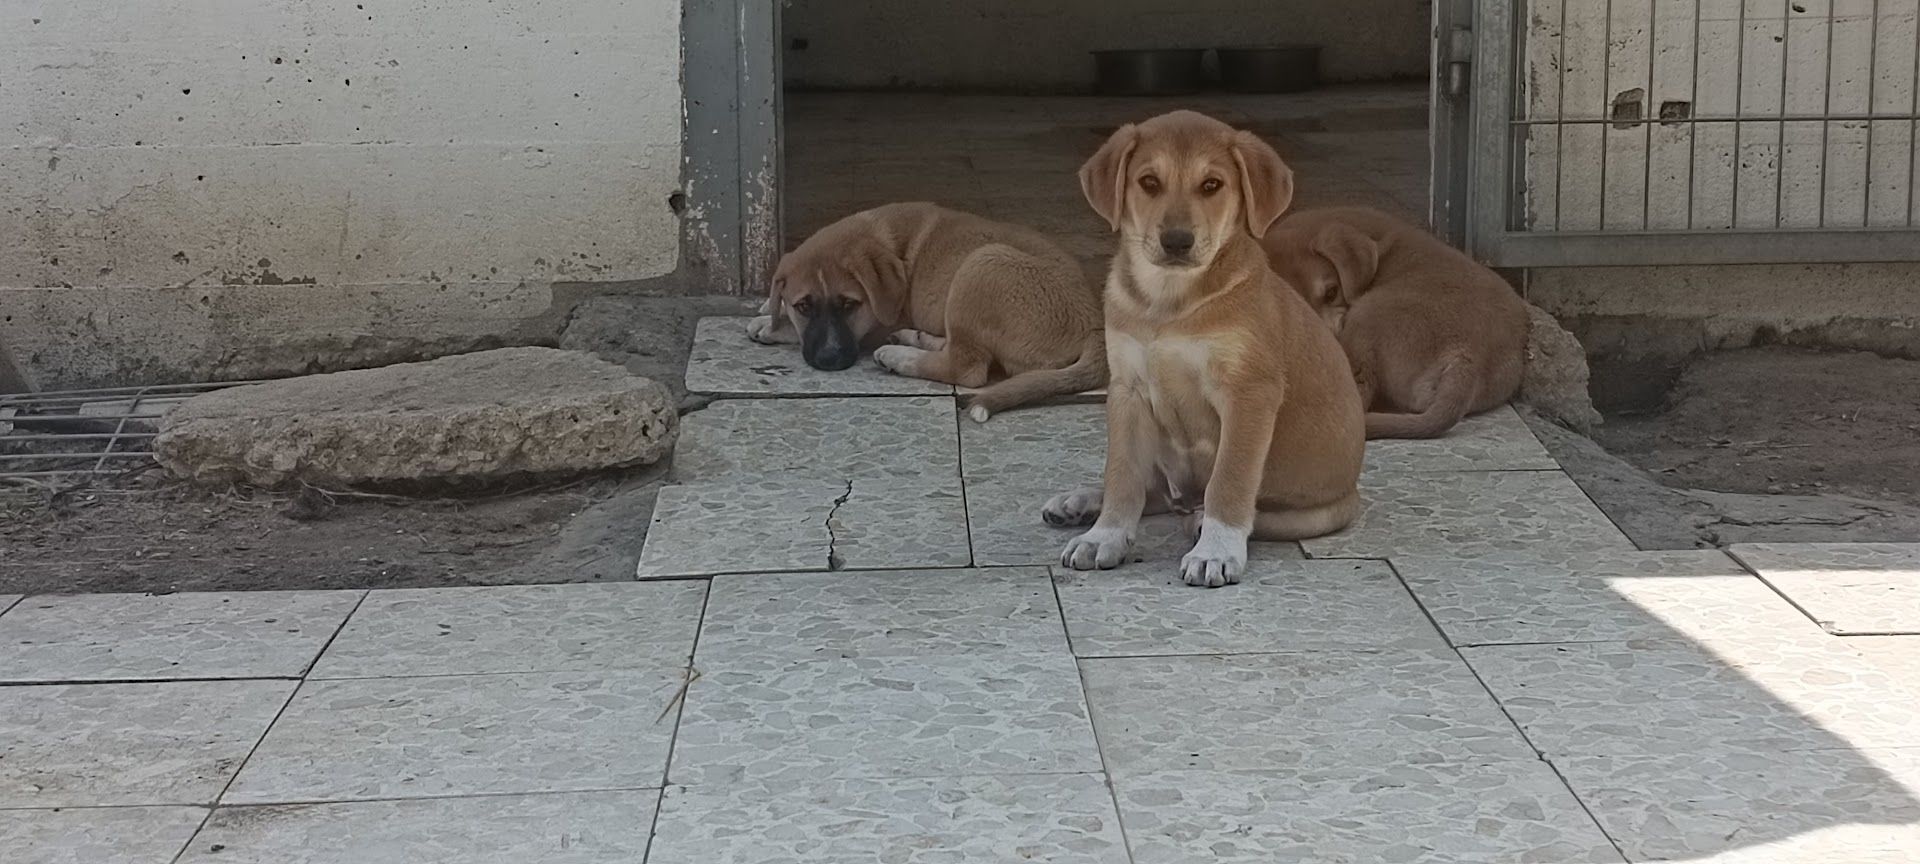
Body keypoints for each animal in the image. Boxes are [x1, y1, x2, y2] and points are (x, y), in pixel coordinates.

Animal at [748, 202, 1105, 422]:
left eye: (849, 305)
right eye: (804, 306)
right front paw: (770, 307)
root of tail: (1096, 325)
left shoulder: (877, 323)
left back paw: (897, 356)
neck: (885, 243)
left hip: (981, 264)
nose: (829, 360)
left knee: (967, 367)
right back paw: (914, 339)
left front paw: (770, 324)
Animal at [1046, 111, 1365, 587]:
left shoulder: (1249, 394)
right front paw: (1105, 535)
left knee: (1232, 506)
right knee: (1156, 491)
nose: (1176, 241)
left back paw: (1197, 522)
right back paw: (1082, 503)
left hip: (1318, 510)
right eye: (1149, 182)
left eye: (1212, 185)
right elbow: (1122, 473)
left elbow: (1230, 481)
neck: (1169, 303)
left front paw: (1216, 550)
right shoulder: (1127, 390)